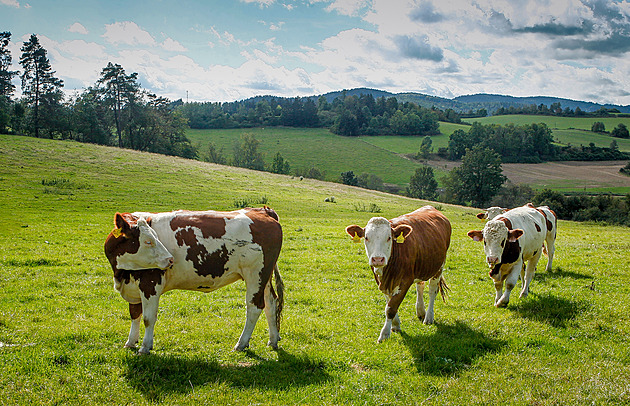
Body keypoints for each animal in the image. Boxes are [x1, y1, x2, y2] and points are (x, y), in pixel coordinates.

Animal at [102, 208, 286, 354]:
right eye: (148, 241)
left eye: (154, 238)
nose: (170, 259)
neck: (122, 273)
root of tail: (262, 211)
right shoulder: (133, 285)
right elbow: (134, 314)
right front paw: (130, 342)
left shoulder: (150, 284)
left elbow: (148, 317)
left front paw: (145, 346)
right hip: (264, 277)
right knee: (271, 303)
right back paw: (273, 340)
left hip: (255, 274)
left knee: (254, 307)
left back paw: (241, 343)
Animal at [346, 206, 454, 342]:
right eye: (366, 237)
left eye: (389, 237)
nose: (377, 259)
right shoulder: (381, 282)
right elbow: (389, 302)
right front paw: (395, 325)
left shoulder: (405, 281)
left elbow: (391, 307)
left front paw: (384, 334)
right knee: (420, 286)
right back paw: (421, 311)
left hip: (439, 267)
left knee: (432, 291)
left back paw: (428, 317)